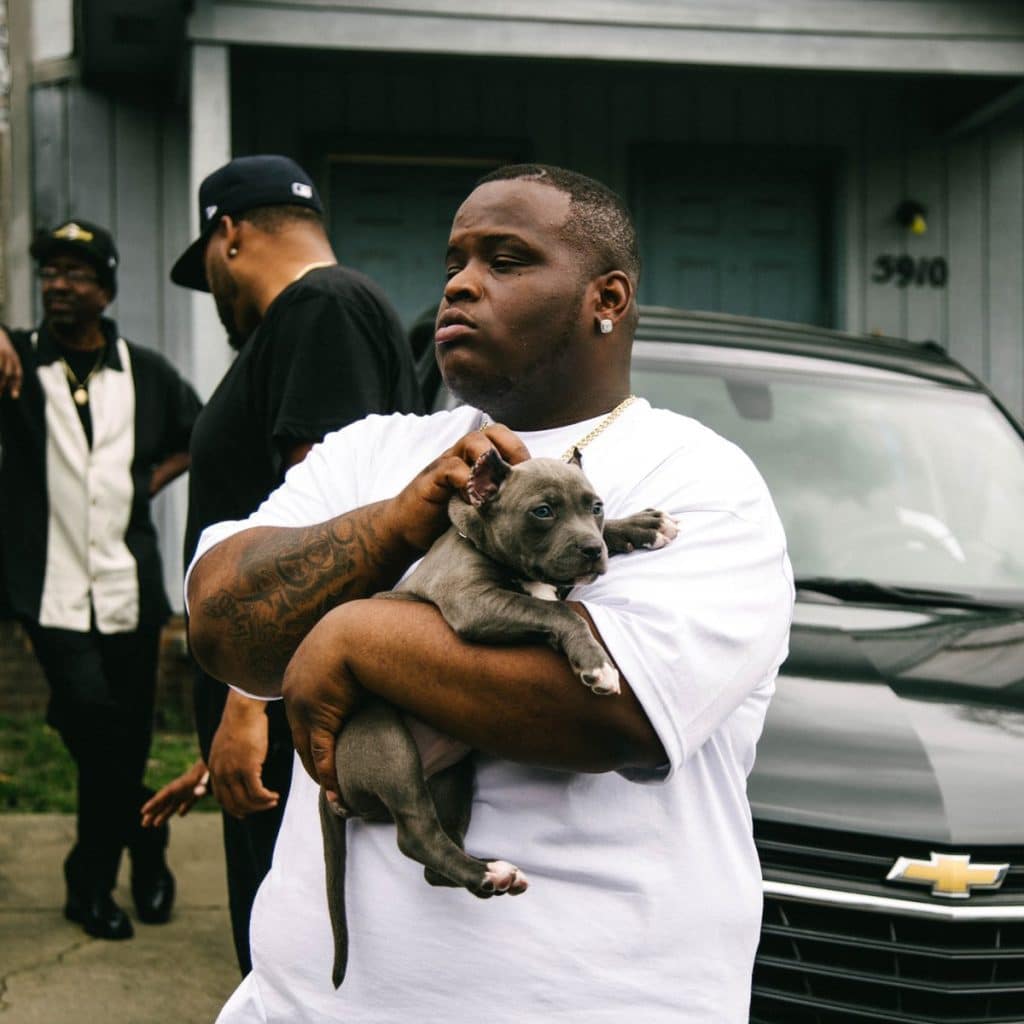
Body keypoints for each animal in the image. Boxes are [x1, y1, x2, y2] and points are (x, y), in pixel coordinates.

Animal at [315, 446, 675, 983]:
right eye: (542, 512)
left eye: (595, 506)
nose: (592, 550)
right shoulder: (473, 603)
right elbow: (557, 613)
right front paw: (596, 666)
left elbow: (557, 600)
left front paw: (641, 526)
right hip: (386, 743)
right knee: (416, 835)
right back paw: (487, 871)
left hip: (454, 778)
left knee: (433, 859)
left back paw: (489, 874)